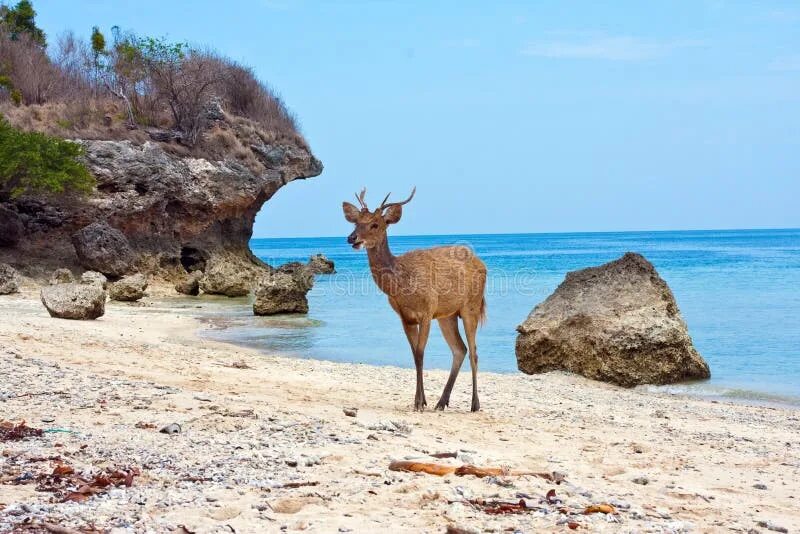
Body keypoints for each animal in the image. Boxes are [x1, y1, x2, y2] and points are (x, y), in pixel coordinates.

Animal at [340, 188, 484, 414]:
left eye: (375, 224)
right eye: (355, 222)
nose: (352, 238)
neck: (401, 285)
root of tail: (483, 264)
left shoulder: (427, 310)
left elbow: (420, 353)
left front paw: (418, 402)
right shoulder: (405, 317)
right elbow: (414, 355)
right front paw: (421, 401)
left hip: (472, 306)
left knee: (474, 352)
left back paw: (474, 404)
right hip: (447, 315)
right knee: (460, 349)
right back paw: (441, 402)